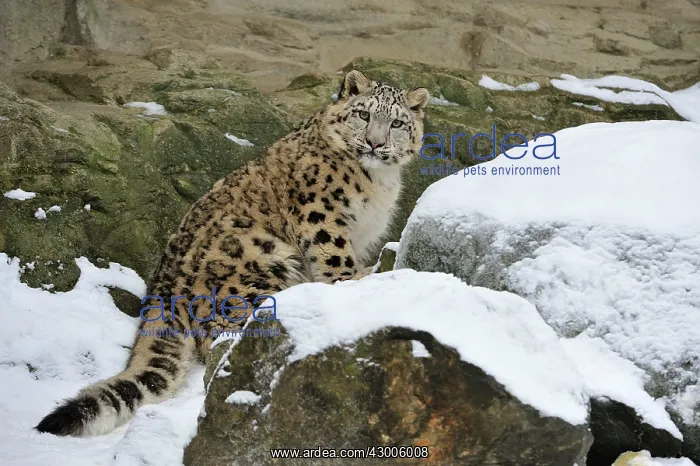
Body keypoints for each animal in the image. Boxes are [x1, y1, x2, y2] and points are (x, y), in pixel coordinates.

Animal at [35, 69, 429, 437]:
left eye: (396, 123)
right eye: (363, 114)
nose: (375, 143)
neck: (376, 183)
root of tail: (162, 287)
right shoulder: (322, 216)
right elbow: (334, 259)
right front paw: (357, 279)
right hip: (262, 269)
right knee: (223, 338)